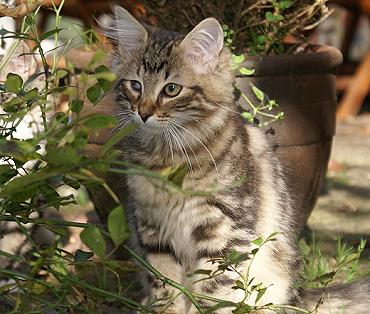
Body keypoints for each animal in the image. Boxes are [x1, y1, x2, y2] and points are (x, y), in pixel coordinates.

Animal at [103, 5, 370, 314]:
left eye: (171, 90)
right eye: (135, 85)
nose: (143, 113)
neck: (168, 157)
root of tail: (297, 292)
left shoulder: (224, 230)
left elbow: (212, 288)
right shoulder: (152, 227)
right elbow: (165, 284)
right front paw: (163, 307)